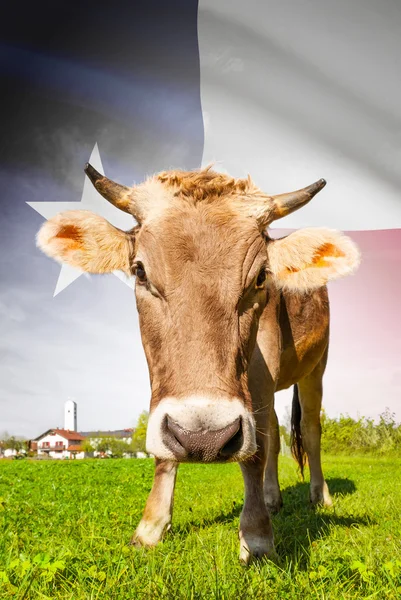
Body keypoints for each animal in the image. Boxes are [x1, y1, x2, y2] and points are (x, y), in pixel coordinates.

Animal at [37, 164, 360, 564]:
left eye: (260, 277)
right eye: (140, 271)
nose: (203, 438)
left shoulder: (263, 364)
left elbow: (254, 452)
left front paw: (256, 536)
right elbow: (167, 449)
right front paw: (150, 527)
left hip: (316, 367)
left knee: (310, 431)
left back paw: (320, 496)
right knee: (271, 430)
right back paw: (272, 498)